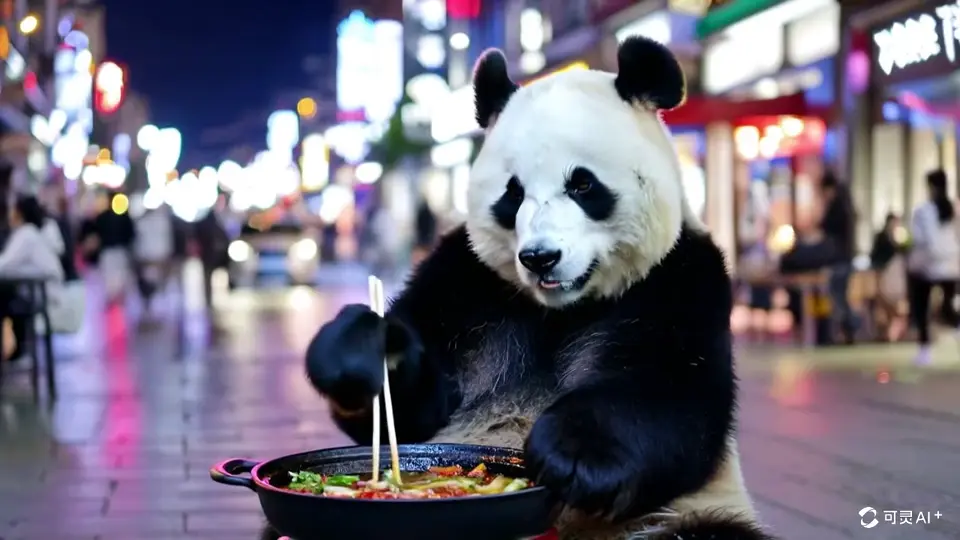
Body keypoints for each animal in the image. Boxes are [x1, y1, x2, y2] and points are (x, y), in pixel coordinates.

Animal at [301, 36, 777, 540]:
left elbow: (673, 397)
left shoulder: (679, 279)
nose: (539, 257)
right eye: (513, 193)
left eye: (583, 184)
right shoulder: (468, 281)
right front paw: (361, 351)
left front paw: (572, 456)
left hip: (678, 514)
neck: (560, 308)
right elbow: (421, 408)